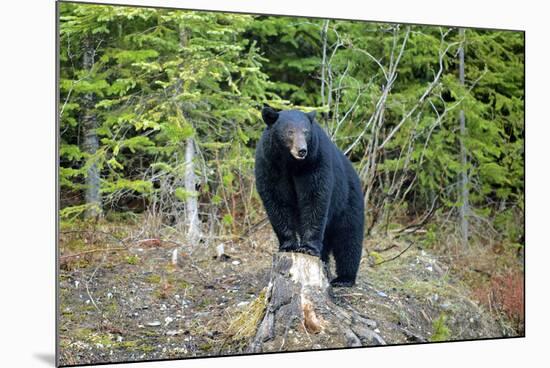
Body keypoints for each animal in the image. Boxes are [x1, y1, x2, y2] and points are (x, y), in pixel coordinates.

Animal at [256, 106, 366, 288]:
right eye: (290, 132)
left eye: (306, 132)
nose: (302, 150)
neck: (291, 163)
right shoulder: (270, 165)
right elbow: (277, 200)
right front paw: (289, 245)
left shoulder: (315, 162)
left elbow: (315, 198)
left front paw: (307, 248)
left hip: (348, 200)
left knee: (348, 237)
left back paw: (344, 278)